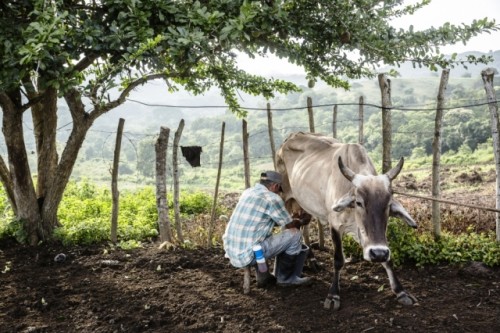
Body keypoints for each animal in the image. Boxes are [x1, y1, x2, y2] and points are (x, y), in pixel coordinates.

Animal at [278, 131, 418, 310]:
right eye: (359, 202)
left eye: (388, 204)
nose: (378, 253)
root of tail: (293, 135)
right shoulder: (335, 225)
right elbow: (338, 259)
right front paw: (333, 295)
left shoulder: (368, 236)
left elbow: (388, 259)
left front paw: (401, 291)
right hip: (286, 198)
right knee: (289, 226)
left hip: (304, 204)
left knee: (304, 227)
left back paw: (312, 259)